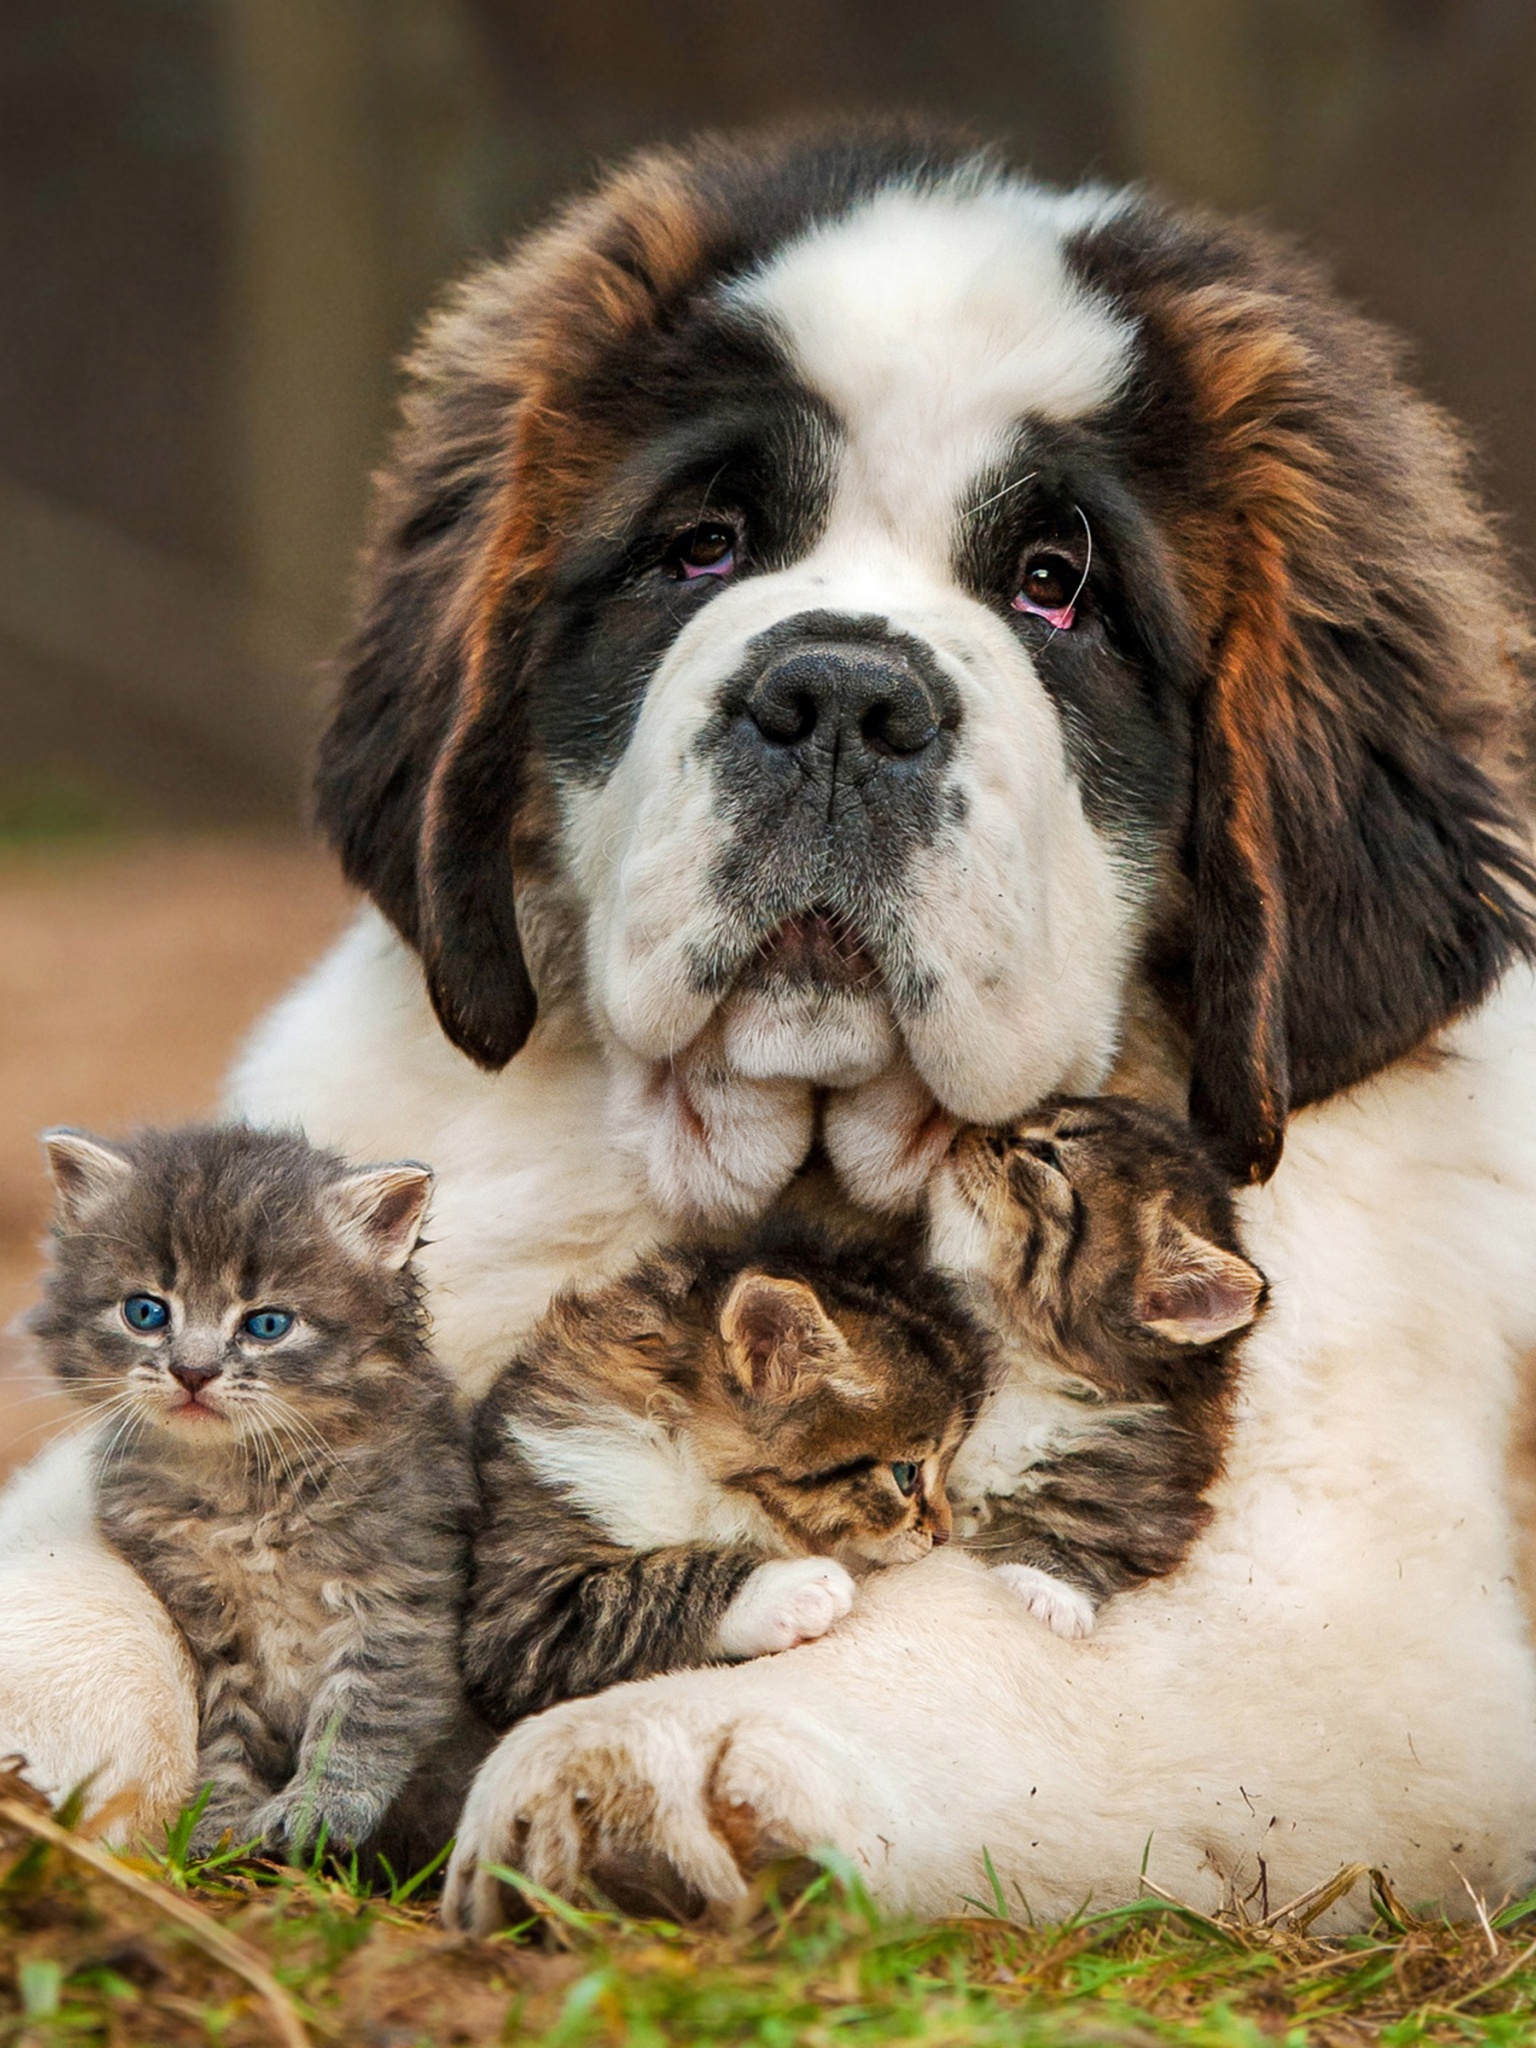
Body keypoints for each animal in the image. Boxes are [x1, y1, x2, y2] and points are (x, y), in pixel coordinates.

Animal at [28, 1122, 475, 1859]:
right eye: (144, 1312)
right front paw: (218, 1826)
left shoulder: (397, 1597)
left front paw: (319, 1809)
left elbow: (361, 1715)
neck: (243, 1489)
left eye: (267, 1325)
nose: (193, 1372)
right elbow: (225, 1734)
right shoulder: (211, 1629)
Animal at [462, 1228, 991, 1728]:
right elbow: (651, 1586)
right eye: (906, 1473)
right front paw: (790, 1589)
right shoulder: (522, 1618)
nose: (942, 1535)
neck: (689, 1465)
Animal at [933, 1097, 1269, 1638]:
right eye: (1041, 1109)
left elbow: (1089, 1538)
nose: (969, 1129)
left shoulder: (1146, 1494)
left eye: (1047, 1156)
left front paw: (1048, 1590)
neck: (1022, 1367)